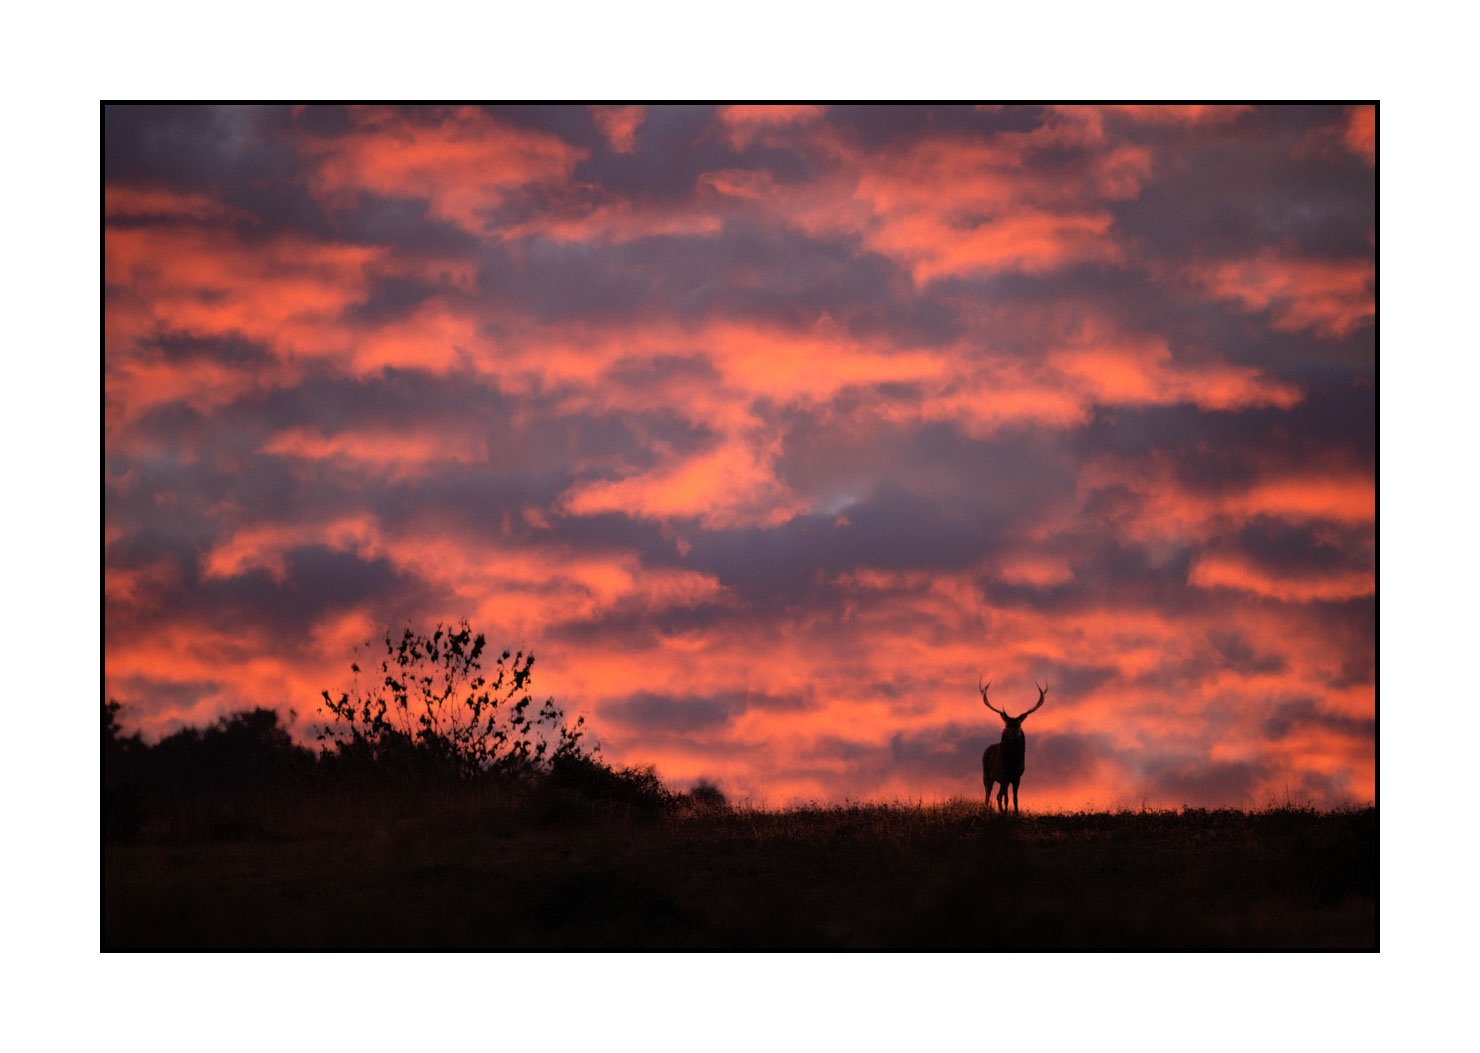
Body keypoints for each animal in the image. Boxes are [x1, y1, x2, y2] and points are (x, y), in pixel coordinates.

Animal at [979, 676, 1047, 812]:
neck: (1012, 763)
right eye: (1007, 725)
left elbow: (1015, 798)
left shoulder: (1017, 777)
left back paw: (1000, 811)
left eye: (1019, 725)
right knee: (988, 796)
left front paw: (1015, 813)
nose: (1014, 734)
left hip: (1000, 780)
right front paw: (1006, 813)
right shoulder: (1004, 775)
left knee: (997, 795)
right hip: (987, 775)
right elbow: (1006, 798)